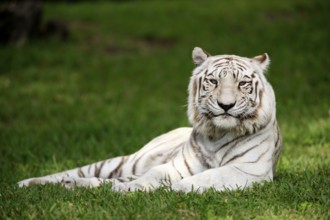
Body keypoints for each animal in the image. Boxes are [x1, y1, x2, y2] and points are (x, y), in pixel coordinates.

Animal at [18, 46, 282, 192]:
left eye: (242, 84)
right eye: (213, 81)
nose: (226, 105)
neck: (218, 133)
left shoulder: (249, 170)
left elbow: (208, 176)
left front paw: (175, 189)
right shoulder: (177, 166)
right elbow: (154, 174)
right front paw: (131, 189)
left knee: (94, 180)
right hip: (125, 162)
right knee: (78, 172)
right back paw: (26, 183)